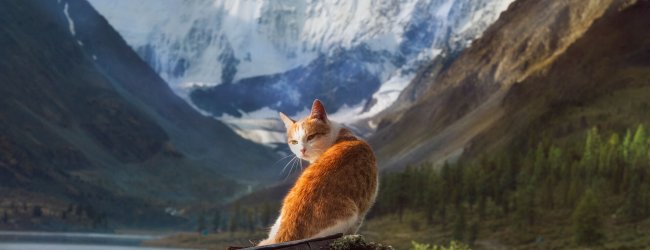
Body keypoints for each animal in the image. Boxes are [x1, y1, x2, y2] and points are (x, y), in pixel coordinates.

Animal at [258, 99, 378, 246]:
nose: (302, 150)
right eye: (294, 142)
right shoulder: (363, 208)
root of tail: (284, 235)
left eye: (311, 137)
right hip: (351, 214)